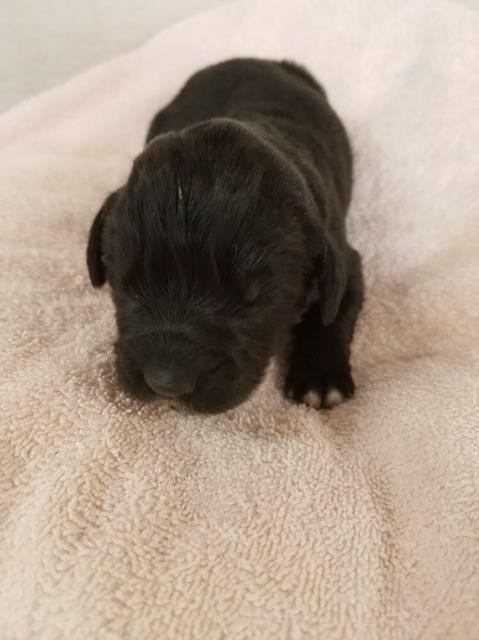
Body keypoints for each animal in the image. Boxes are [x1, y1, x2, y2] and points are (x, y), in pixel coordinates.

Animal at [86, 57, 364, 412]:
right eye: (125, 284)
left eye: (253, 301)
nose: (166, 384)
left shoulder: (344, 260)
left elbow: (333, 312)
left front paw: (320, 378)